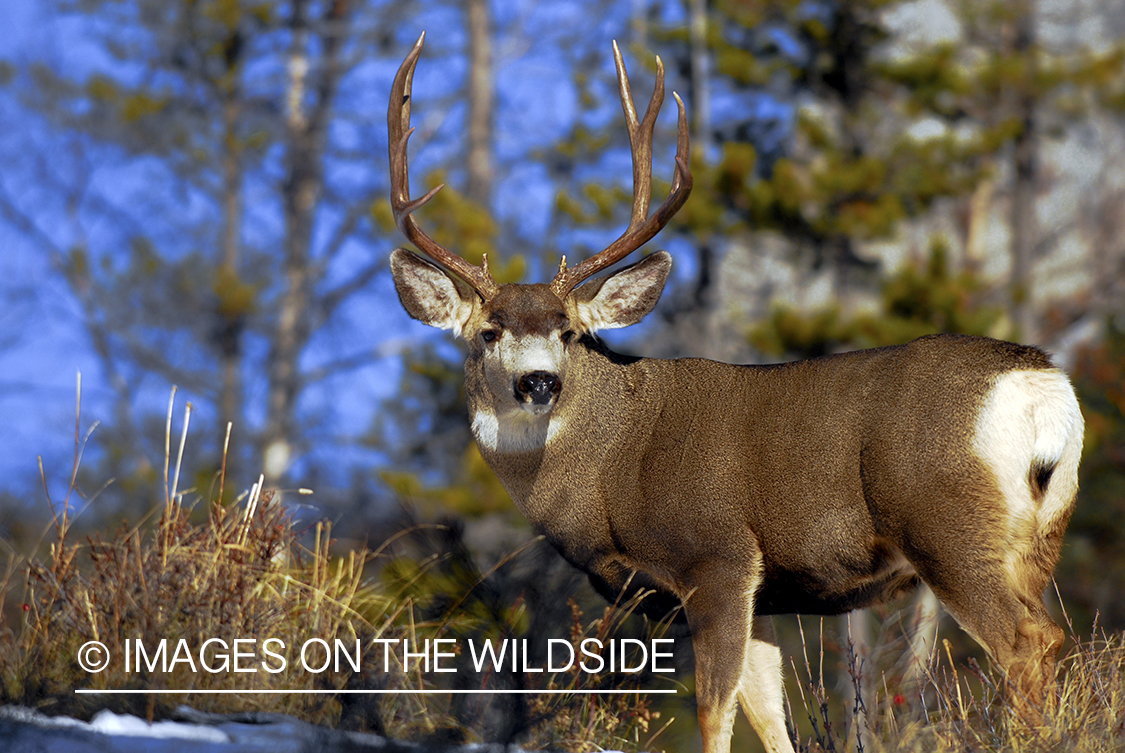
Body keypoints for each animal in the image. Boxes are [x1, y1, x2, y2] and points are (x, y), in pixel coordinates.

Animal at [386, 33, 1084, 753]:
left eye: (569, 330)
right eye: (489, 331)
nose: (538, 381)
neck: (608, 468)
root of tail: (1039, 383)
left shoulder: (715, 555)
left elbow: (713, 709)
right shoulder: (766, 592)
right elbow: (769, 716)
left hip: (943, 522)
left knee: (1026, 641)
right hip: (1038, 533)